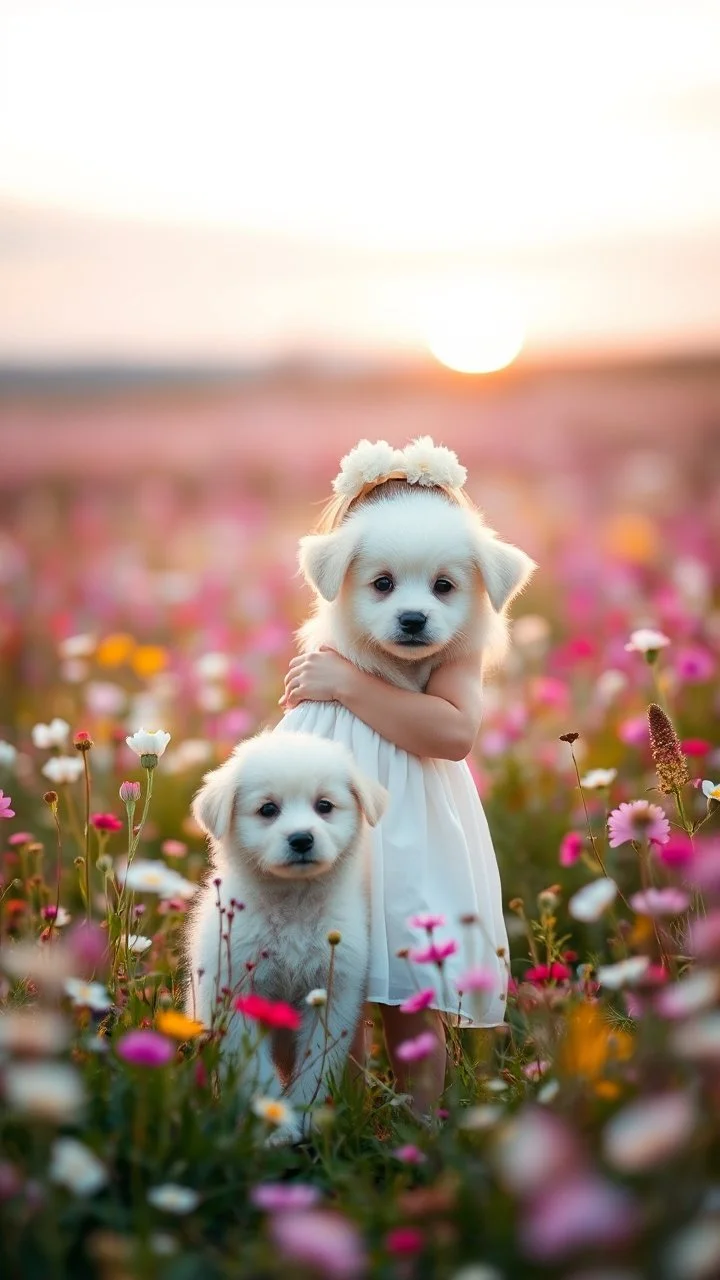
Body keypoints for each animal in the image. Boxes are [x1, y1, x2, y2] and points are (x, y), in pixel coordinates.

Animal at [184, 737, 386, 1146]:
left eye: (324, 806)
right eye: (268, 809)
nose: (302, 839)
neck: (293, 904)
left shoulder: (331, 993)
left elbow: (317, 1065)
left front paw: (308, 1118)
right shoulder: (238, 995)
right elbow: (254, 1070)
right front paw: (276, 1127)